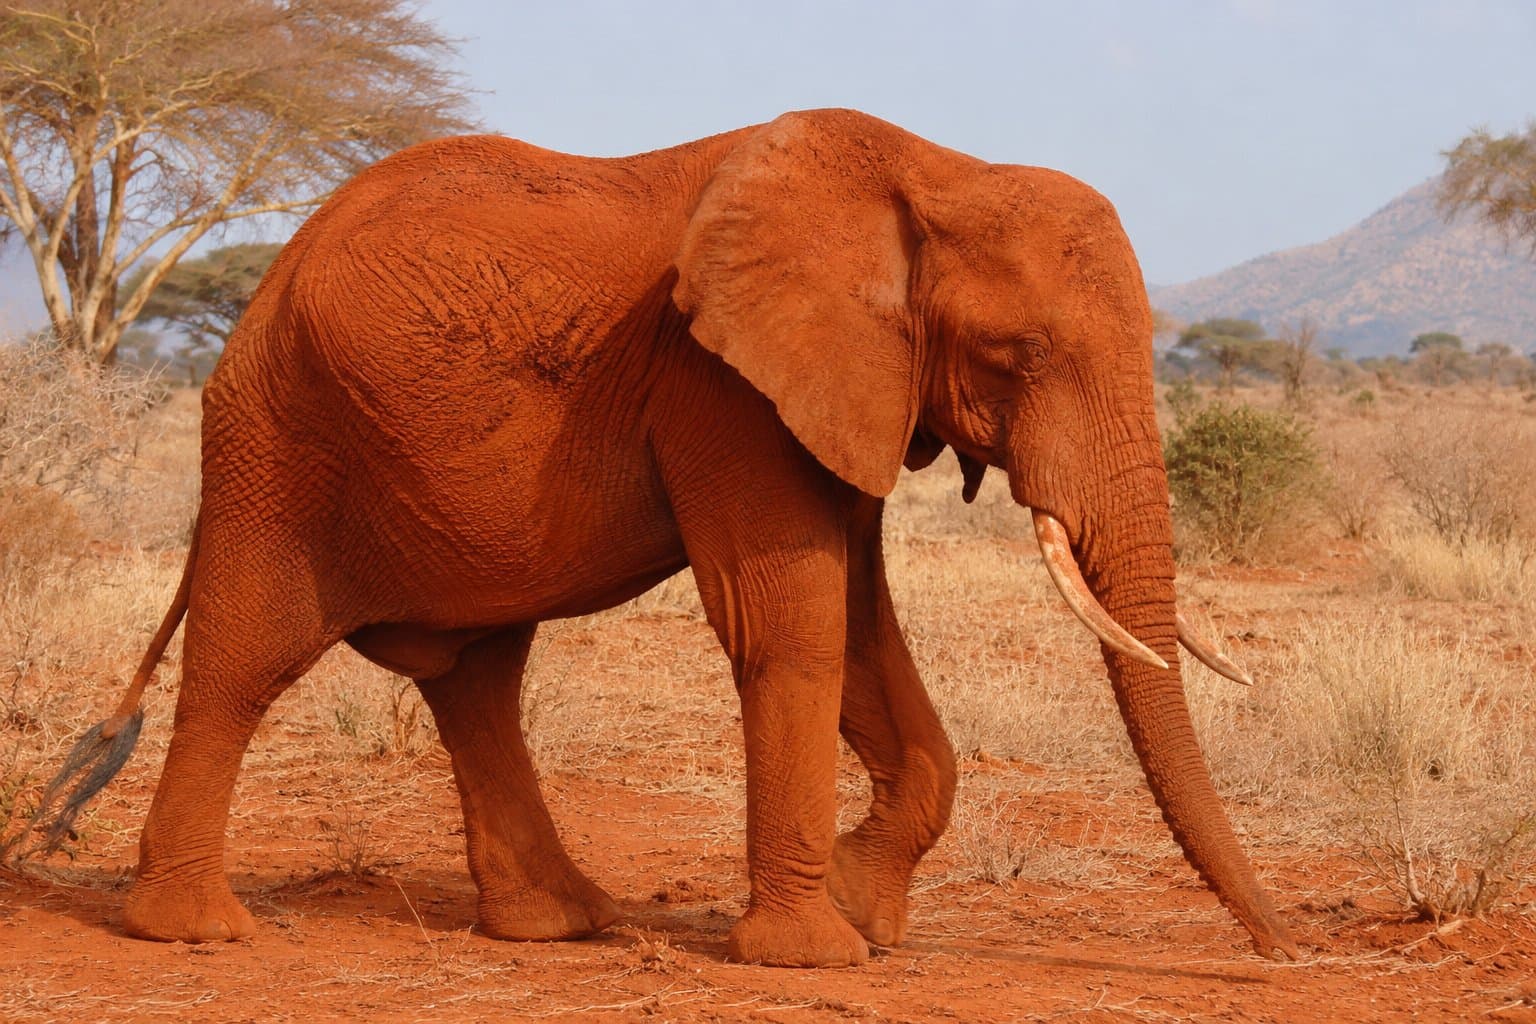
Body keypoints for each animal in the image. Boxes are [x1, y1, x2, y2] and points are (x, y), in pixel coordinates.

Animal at [43, 108, 1295, 967]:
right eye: (1020, 355)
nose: (1284, 950)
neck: (929, 170)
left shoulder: (832, 386)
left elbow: (860, 624)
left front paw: (861, 905)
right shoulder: (719, 383)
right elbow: (788, 620)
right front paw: (815, 952)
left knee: (478, 679)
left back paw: (558, 924)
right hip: (278, 438)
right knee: (246, 659)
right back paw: (193, 930)